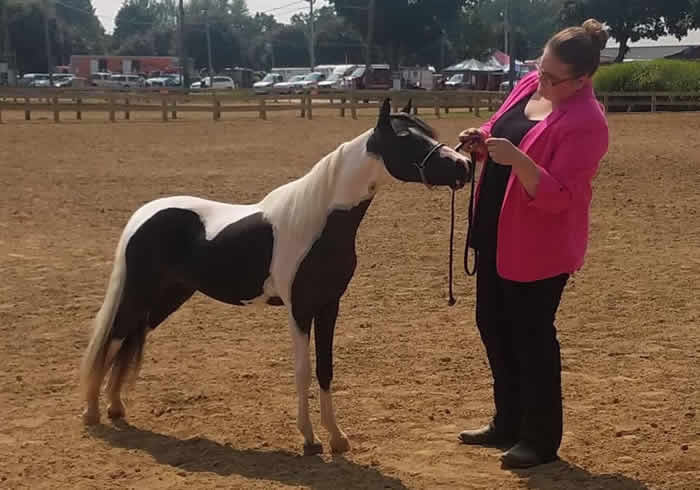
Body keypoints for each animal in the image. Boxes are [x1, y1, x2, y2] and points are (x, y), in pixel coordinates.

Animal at [79, 97, 474, 458]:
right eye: (407, 138)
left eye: (429, 132)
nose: (465, 165)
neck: (318, 222)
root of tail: (145, 213)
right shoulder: (299, 309)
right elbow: (302, 370)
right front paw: (310, 440)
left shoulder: (329, 305)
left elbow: (326, 368)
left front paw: (337, 438)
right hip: (140, 292)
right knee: (114, 337)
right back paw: (93, 412)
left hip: (168, 296)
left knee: (129, 337)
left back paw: (115, 407)